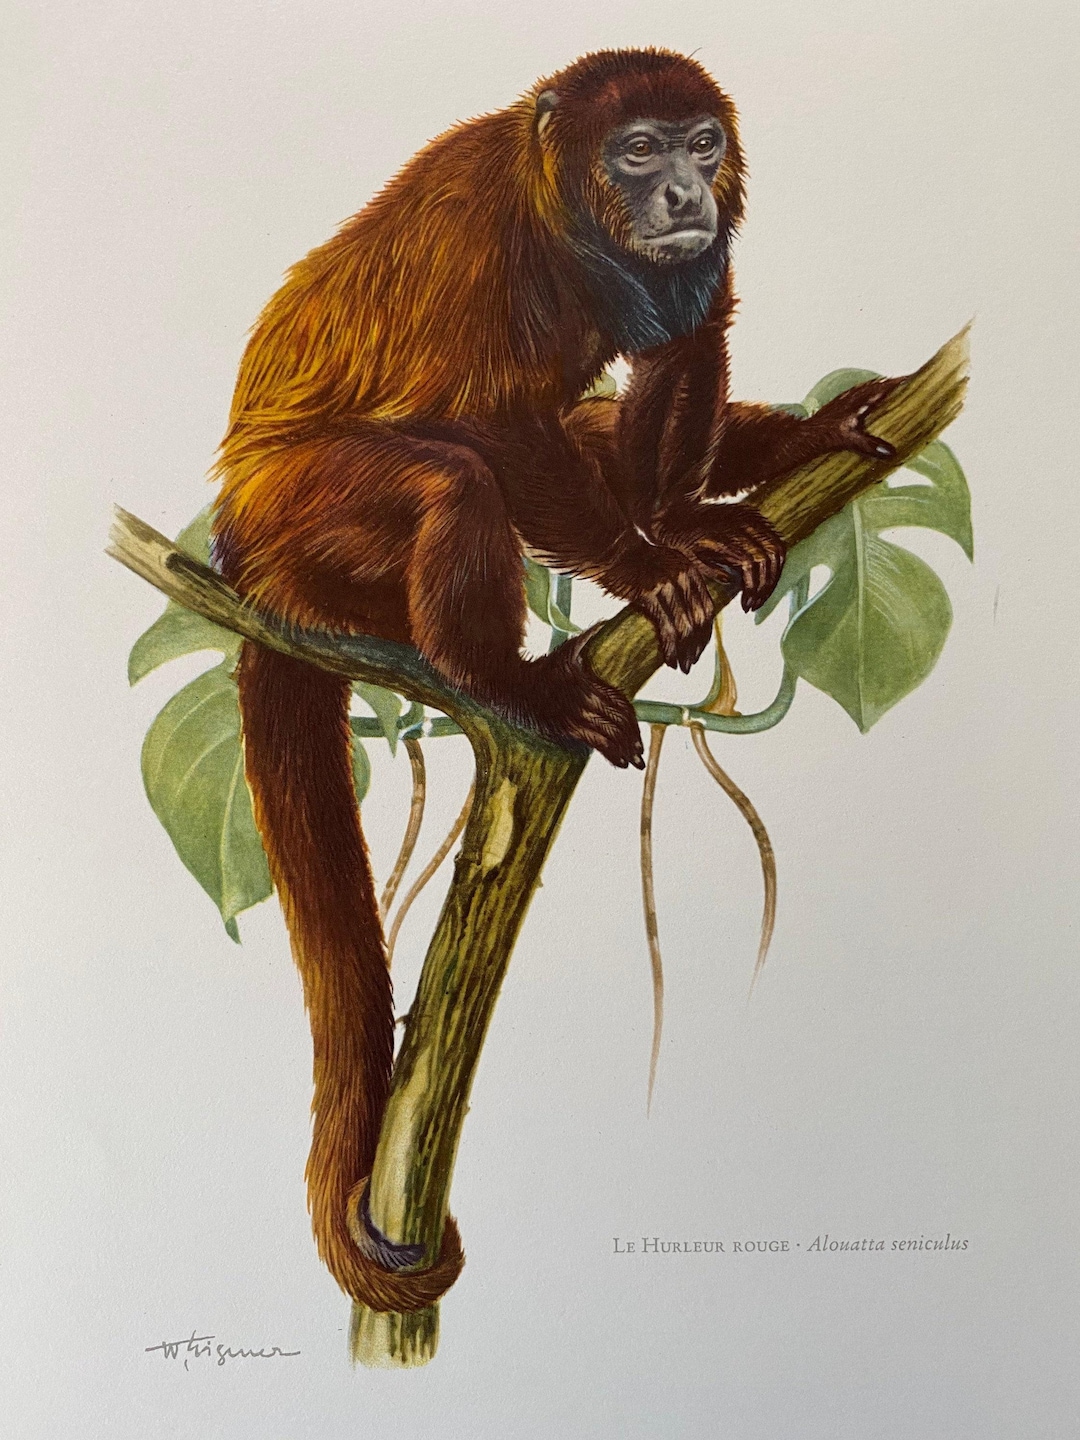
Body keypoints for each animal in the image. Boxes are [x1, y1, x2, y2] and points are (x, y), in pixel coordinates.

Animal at [210, 48, 898, 1311]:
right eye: (638, 151)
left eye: (701, 145)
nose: (682, 192)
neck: (568, 218)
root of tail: (243, 552)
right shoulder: (490, 236)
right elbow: (486, 414)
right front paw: (651, 564)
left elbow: (678, 349)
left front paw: (699, 519)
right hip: (299, 514)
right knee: (456, 478)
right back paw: (507, 680)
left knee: (588, 421)